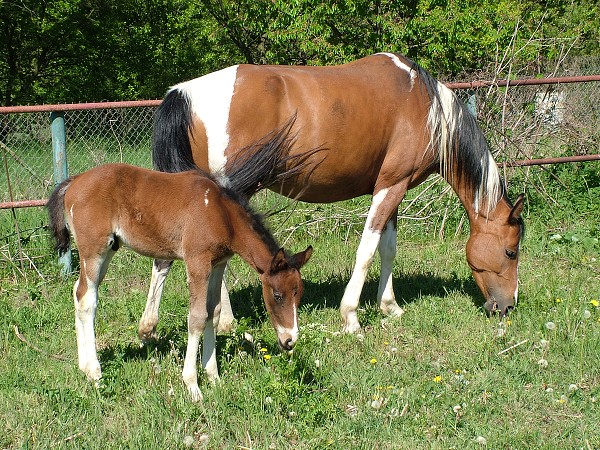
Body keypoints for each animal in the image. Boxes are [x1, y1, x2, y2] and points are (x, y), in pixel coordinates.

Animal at [47, 163, 312, 400]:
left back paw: (84, 367)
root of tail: (74, 181)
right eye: (277, 295)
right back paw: (95, 374)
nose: (290, 340)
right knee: (87, 300)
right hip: (94, 250)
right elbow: (196, 317)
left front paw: (214, 377)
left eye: (299, 294)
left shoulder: (217, 264)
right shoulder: (197, 261)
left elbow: (213, 312)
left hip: (109, 248)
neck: (220, 212)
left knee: (79, 291)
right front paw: (193, 386)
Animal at [152, 53, 524, 334]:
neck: (426, 106)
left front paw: (390, 306)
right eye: (510, 252)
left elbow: (388, 249)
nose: (508, 307)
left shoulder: (395, 188)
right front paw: (351, 317)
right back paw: (224, 320)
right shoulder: (390, 186)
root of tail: (183, 93)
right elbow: (367, 251)